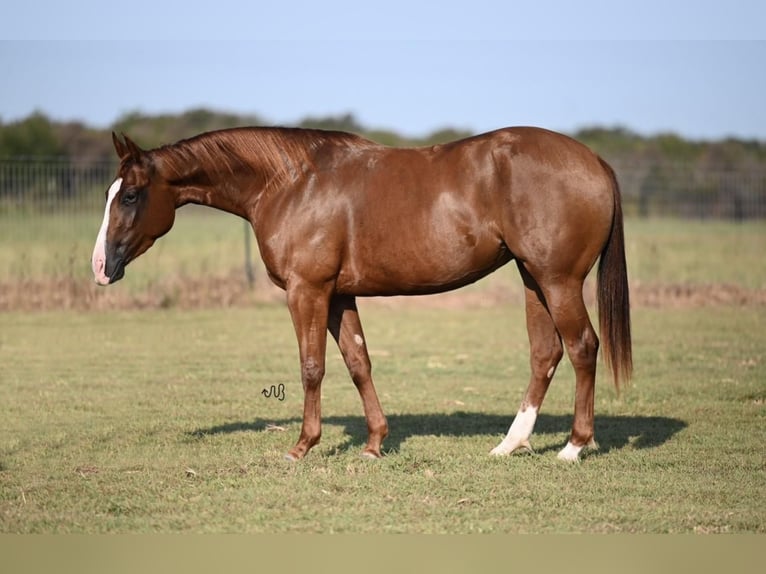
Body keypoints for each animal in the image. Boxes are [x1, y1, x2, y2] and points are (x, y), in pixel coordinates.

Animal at [91, 126, 632, 464]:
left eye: (131, 194)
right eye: (111, 194)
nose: (100, 267)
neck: (291, 183)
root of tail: (594, 160)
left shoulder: (307, 291)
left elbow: (312, 367)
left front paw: (301, 447)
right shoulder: (337, 296)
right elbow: (358, 362)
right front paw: (374, 444)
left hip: (557, 280)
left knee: (582, 347)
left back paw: (574, 447)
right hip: (532, 278)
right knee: (545, 353)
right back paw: (510, 445)